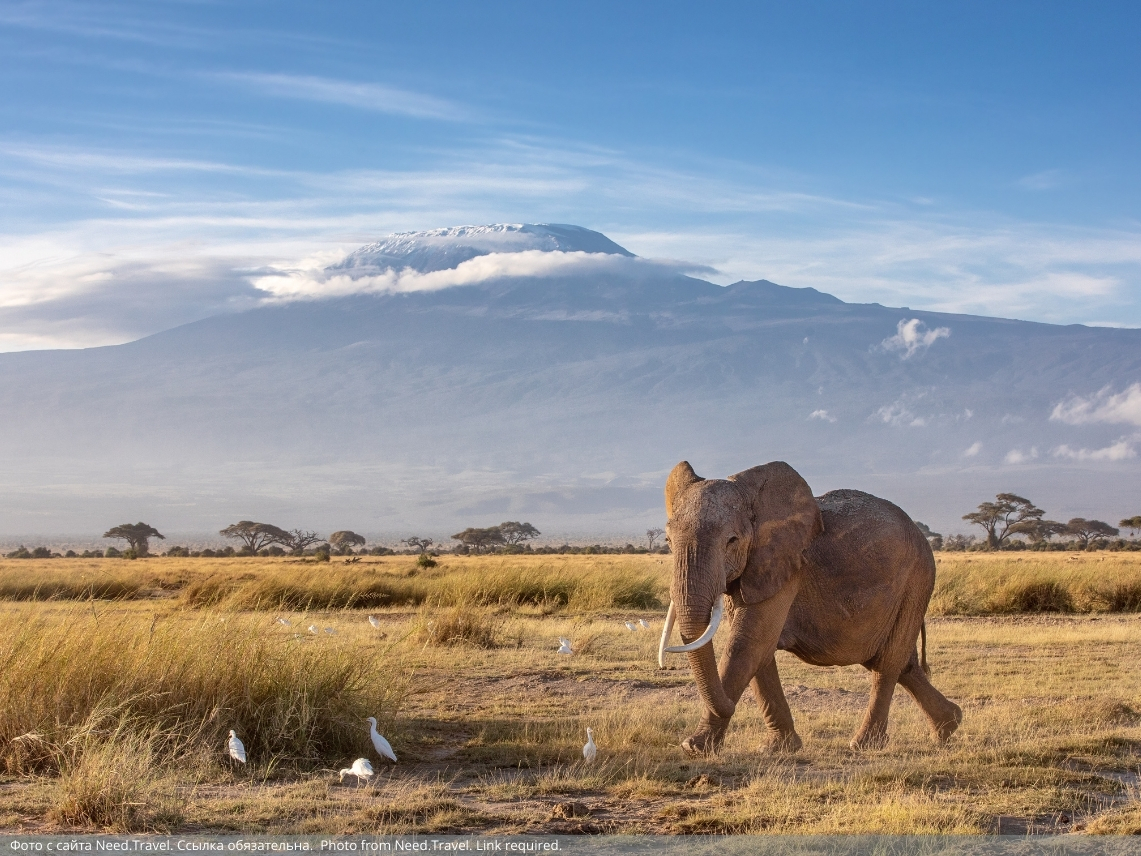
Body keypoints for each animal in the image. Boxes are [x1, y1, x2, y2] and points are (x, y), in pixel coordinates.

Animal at [661, 463, 963, 757]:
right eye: (668, 542)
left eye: (732, 540)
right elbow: (761, 651)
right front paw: (778, 748)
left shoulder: (787, 565)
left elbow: (748, 644)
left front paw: (694, 747)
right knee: (900, 663)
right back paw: (949, 725)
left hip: (917, 579)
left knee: (888, 662)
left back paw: (864, 744)